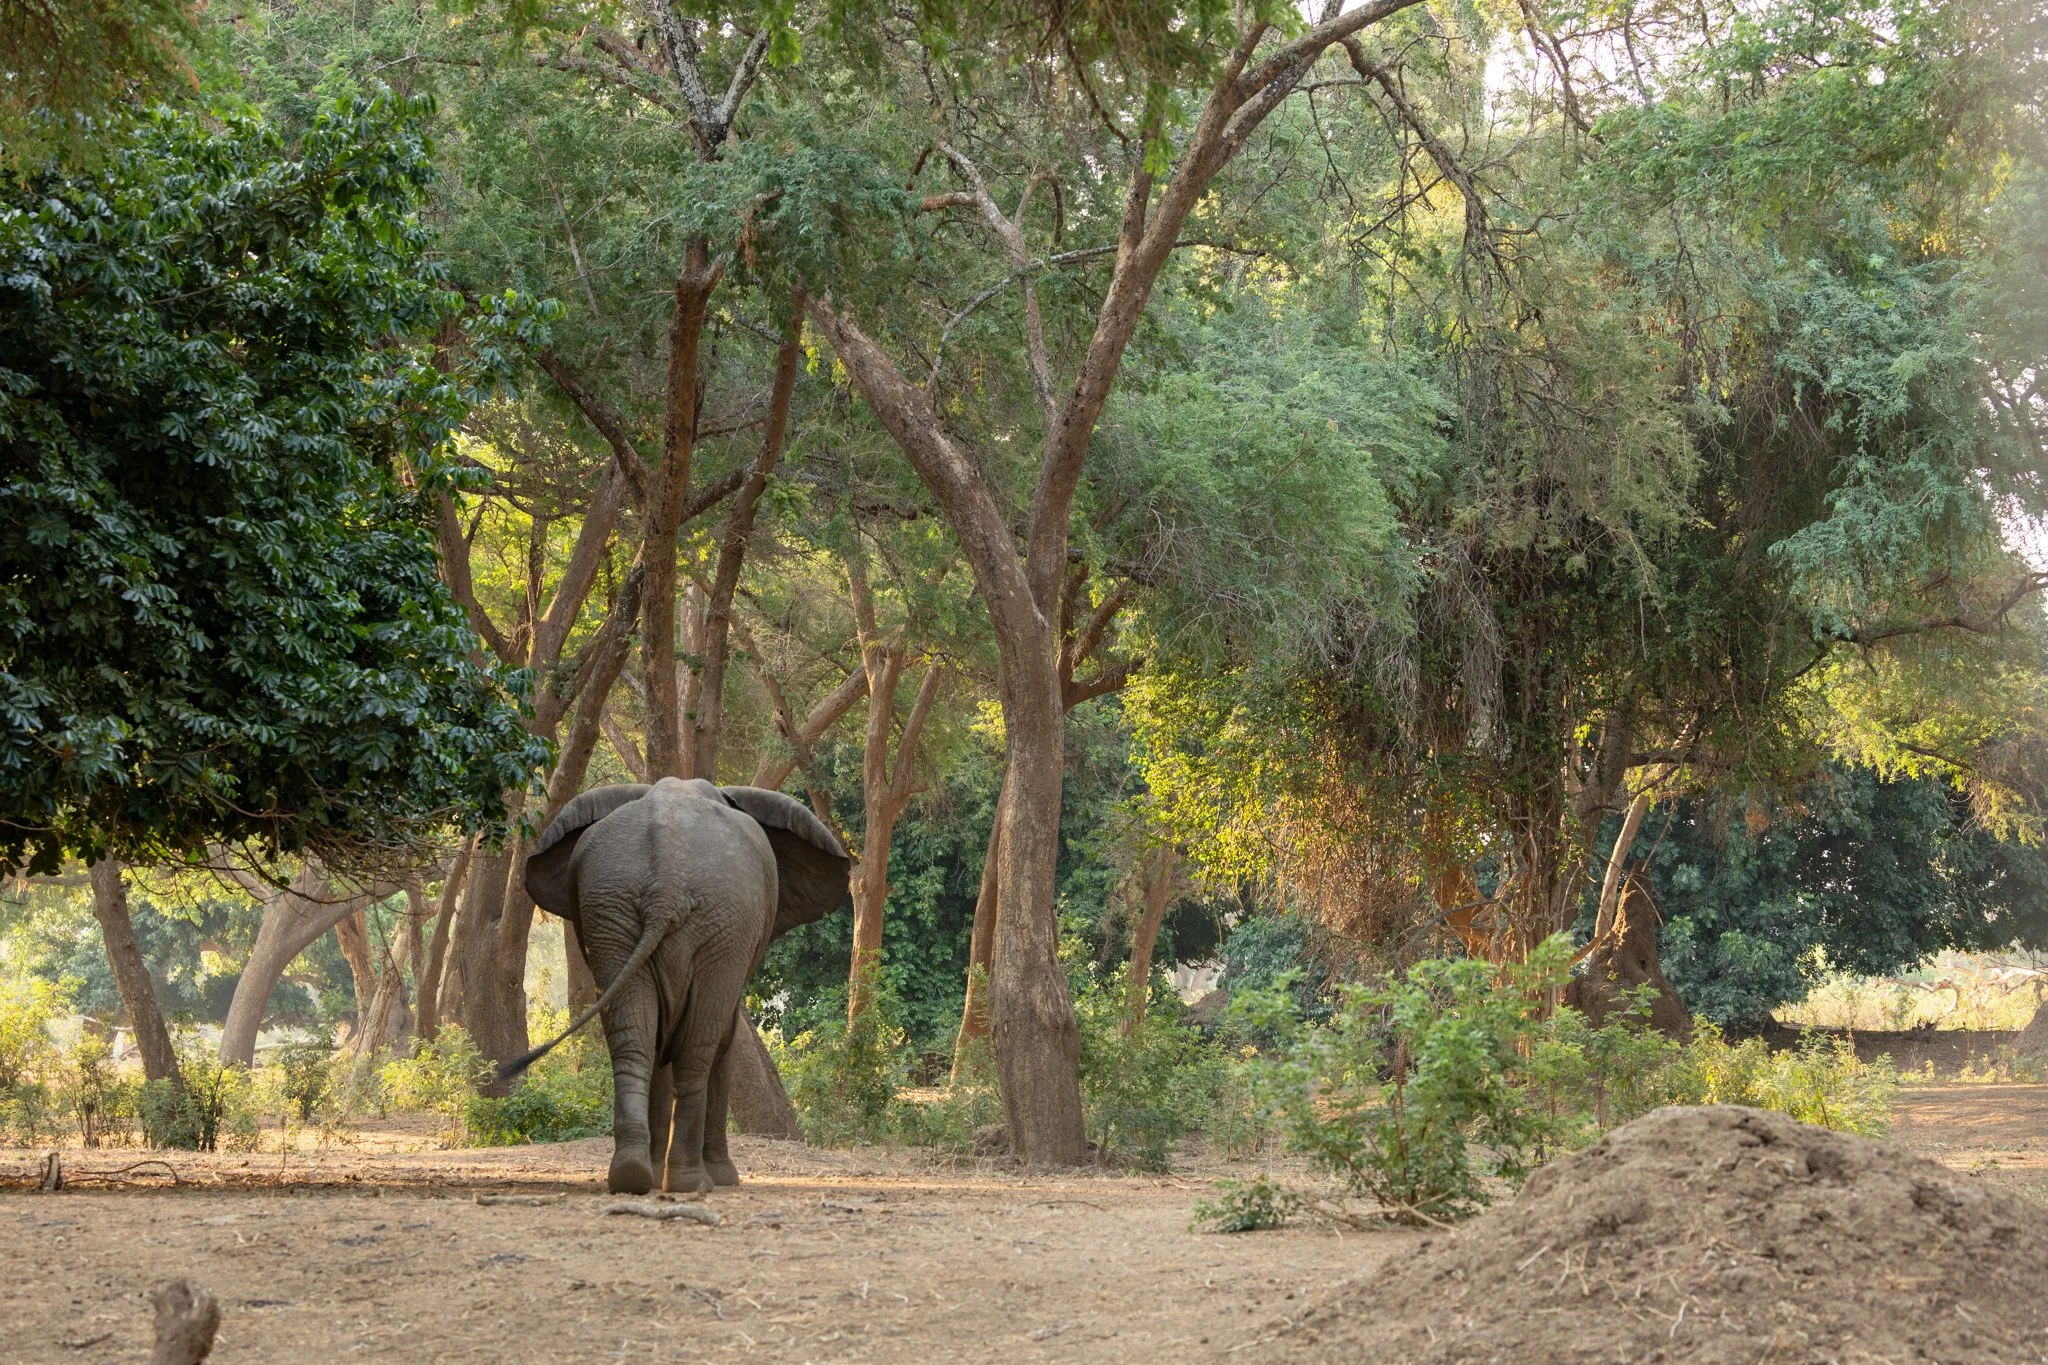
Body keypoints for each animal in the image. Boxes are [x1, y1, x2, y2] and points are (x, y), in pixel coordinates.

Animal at [503, 777, 849, 1195]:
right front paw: (723, 1178)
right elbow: (721, 1037)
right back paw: (689, 1182)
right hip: (722, 923)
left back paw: (633, 1175)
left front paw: (654, 1173)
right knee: (698, 1047)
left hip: (613, 911)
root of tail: (665, 883)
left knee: (634, 1039)